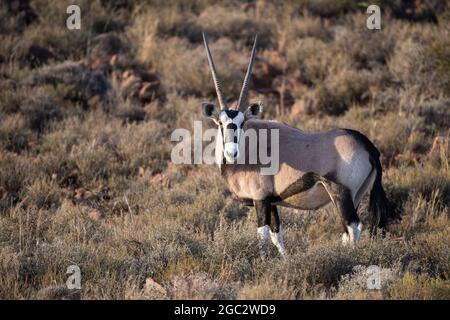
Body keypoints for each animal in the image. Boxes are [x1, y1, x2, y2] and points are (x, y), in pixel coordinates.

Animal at [200, 33, 394, 255]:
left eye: (242, 123)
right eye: (220, 123)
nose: (231, 152)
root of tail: (367, 145)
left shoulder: (261, 200)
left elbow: (262, 236)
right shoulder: (271, 202)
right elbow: (277, 235)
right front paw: (284, 260)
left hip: (341, 194)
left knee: (353, 227)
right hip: (356, 194)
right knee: (347, 231)